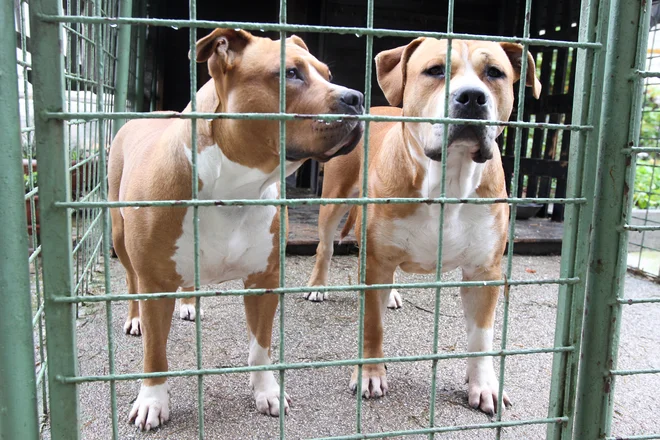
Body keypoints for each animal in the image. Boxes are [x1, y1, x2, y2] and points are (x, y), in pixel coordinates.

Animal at [110, 29, 364, 432]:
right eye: (290, 73)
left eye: (327, 73)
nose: (356, 98)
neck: (233, 188)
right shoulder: (154, 282)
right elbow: (155, 352)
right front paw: (152, 400)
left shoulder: (265, 279)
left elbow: (261, 346)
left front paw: (267, 391)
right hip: (120, 237)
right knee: (132, 280)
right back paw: (135, 318)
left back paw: (188, 303)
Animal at [304, 38, 540, 416]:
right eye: (435, 70)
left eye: (495, 73)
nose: (472, 97)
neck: (449, 179)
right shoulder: (376, 261)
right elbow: (372, 326)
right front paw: (369, 374)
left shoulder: (483, 272)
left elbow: (481, 337)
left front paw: (484, 384)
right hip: (334, 200)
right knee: (326, 246)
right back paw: (318, 285)